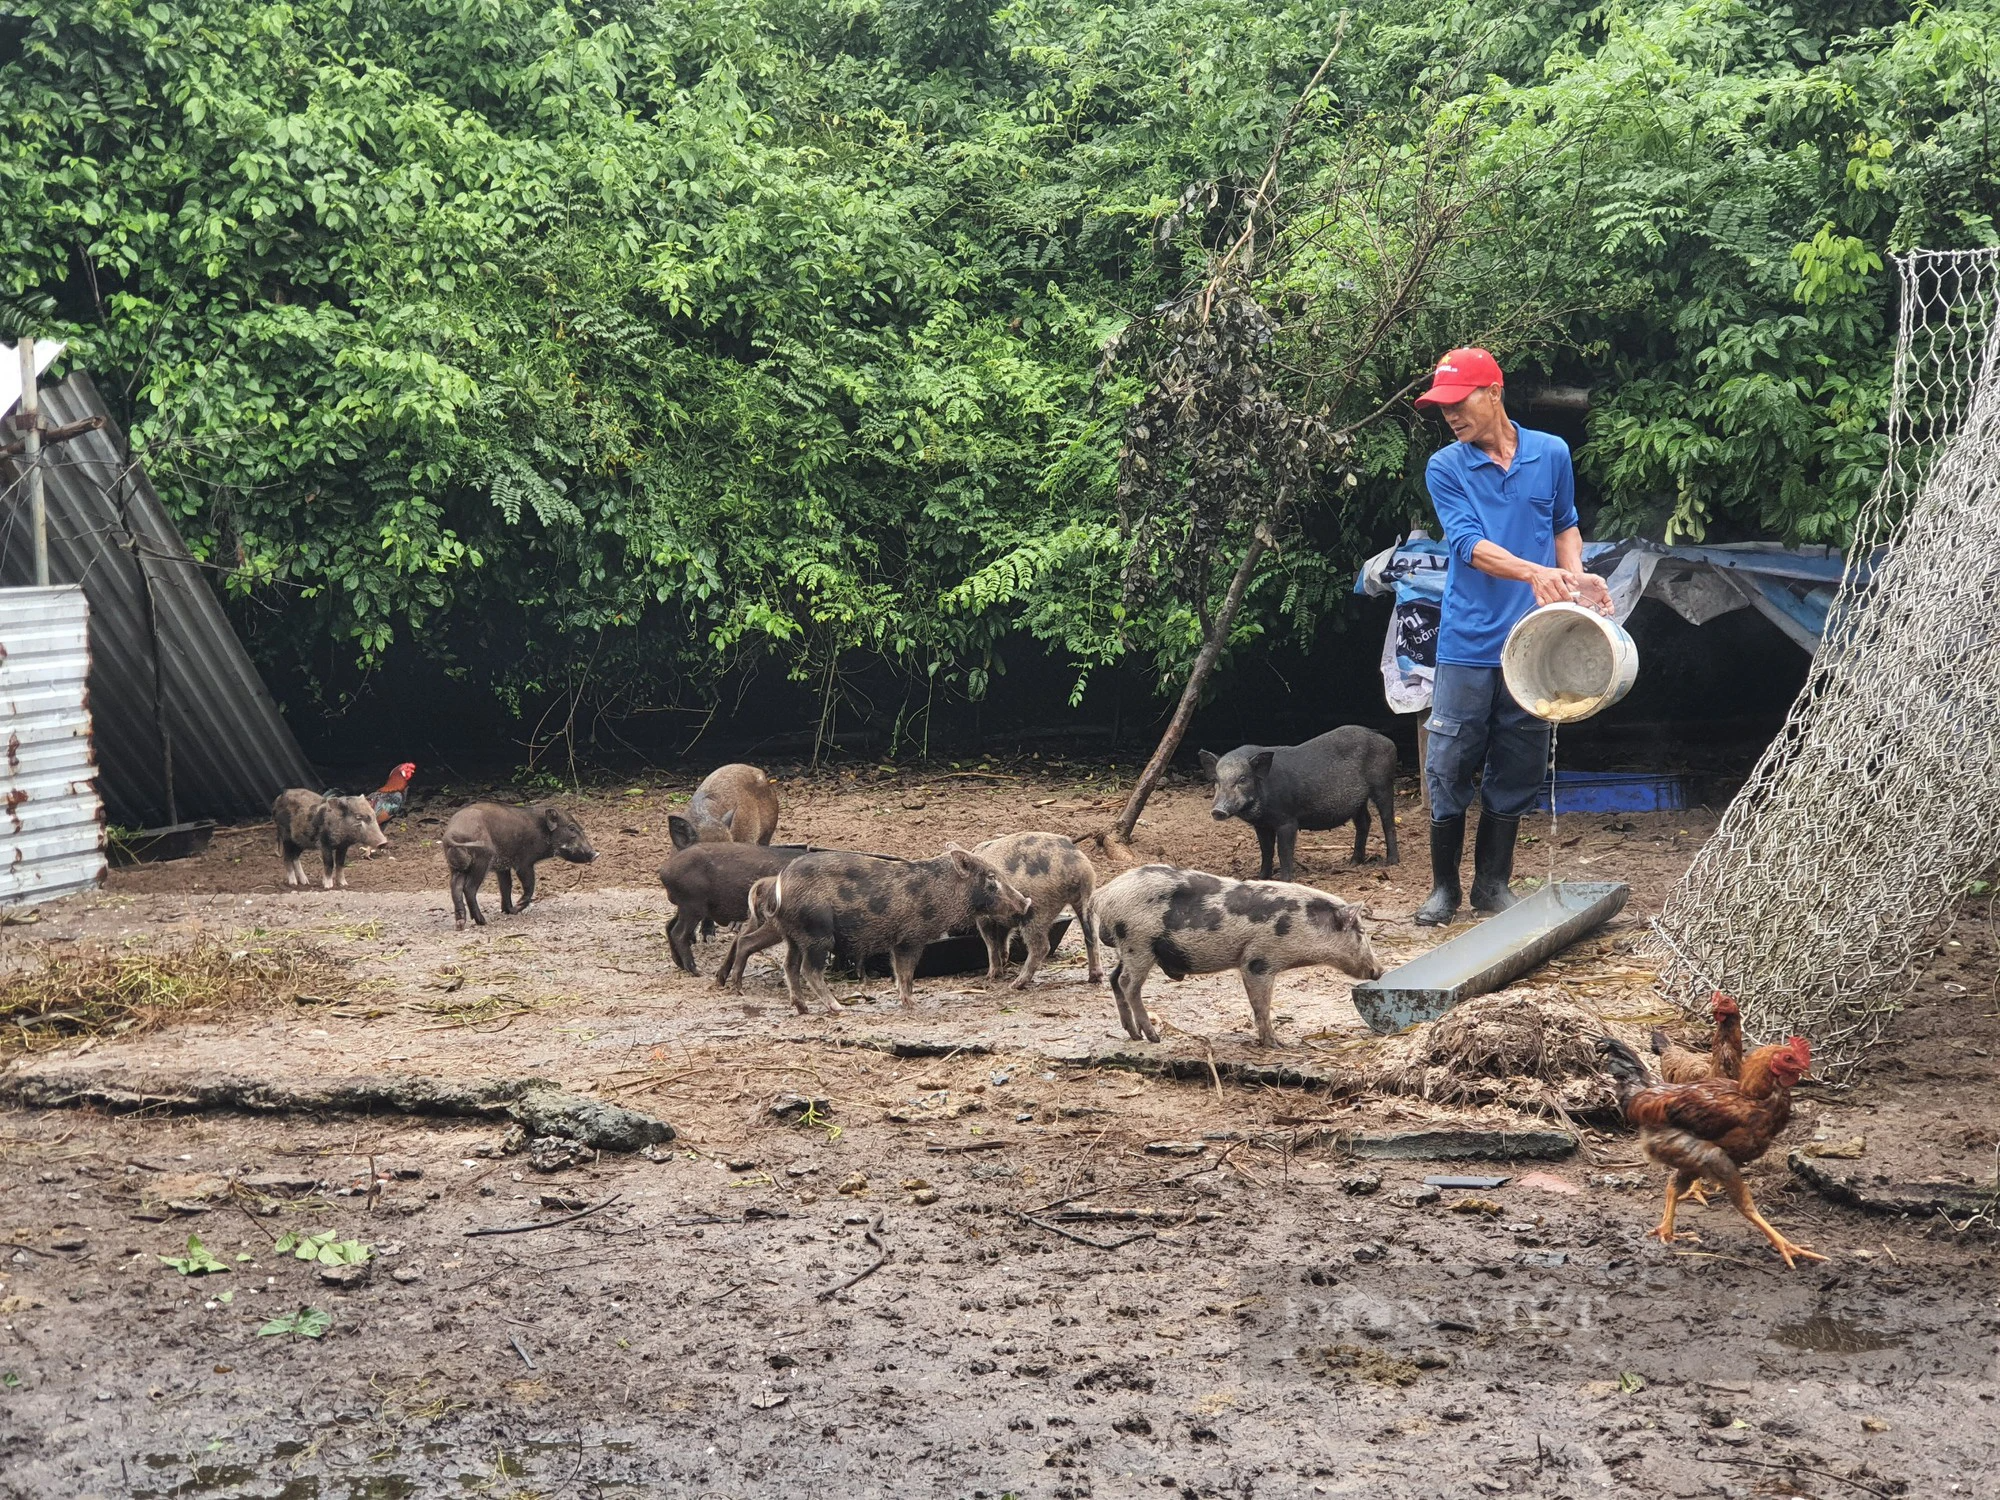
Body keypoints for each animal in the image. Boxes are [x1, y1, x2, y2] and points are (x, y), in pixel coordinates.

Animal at [1088, 864, 1384, 1048]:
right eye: (1361, 932)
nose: (1379, 970)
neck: (1302, 925)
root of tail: (1102, 894)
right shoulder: (1258, 961)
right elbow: (1261, 1005)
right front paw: (1277, 1044)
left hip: (1127, 947)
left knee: (1115, 979)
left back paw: (1134, 1034)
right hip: (1138, 943)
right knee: (1128, 984)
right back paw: (1153, 1037)